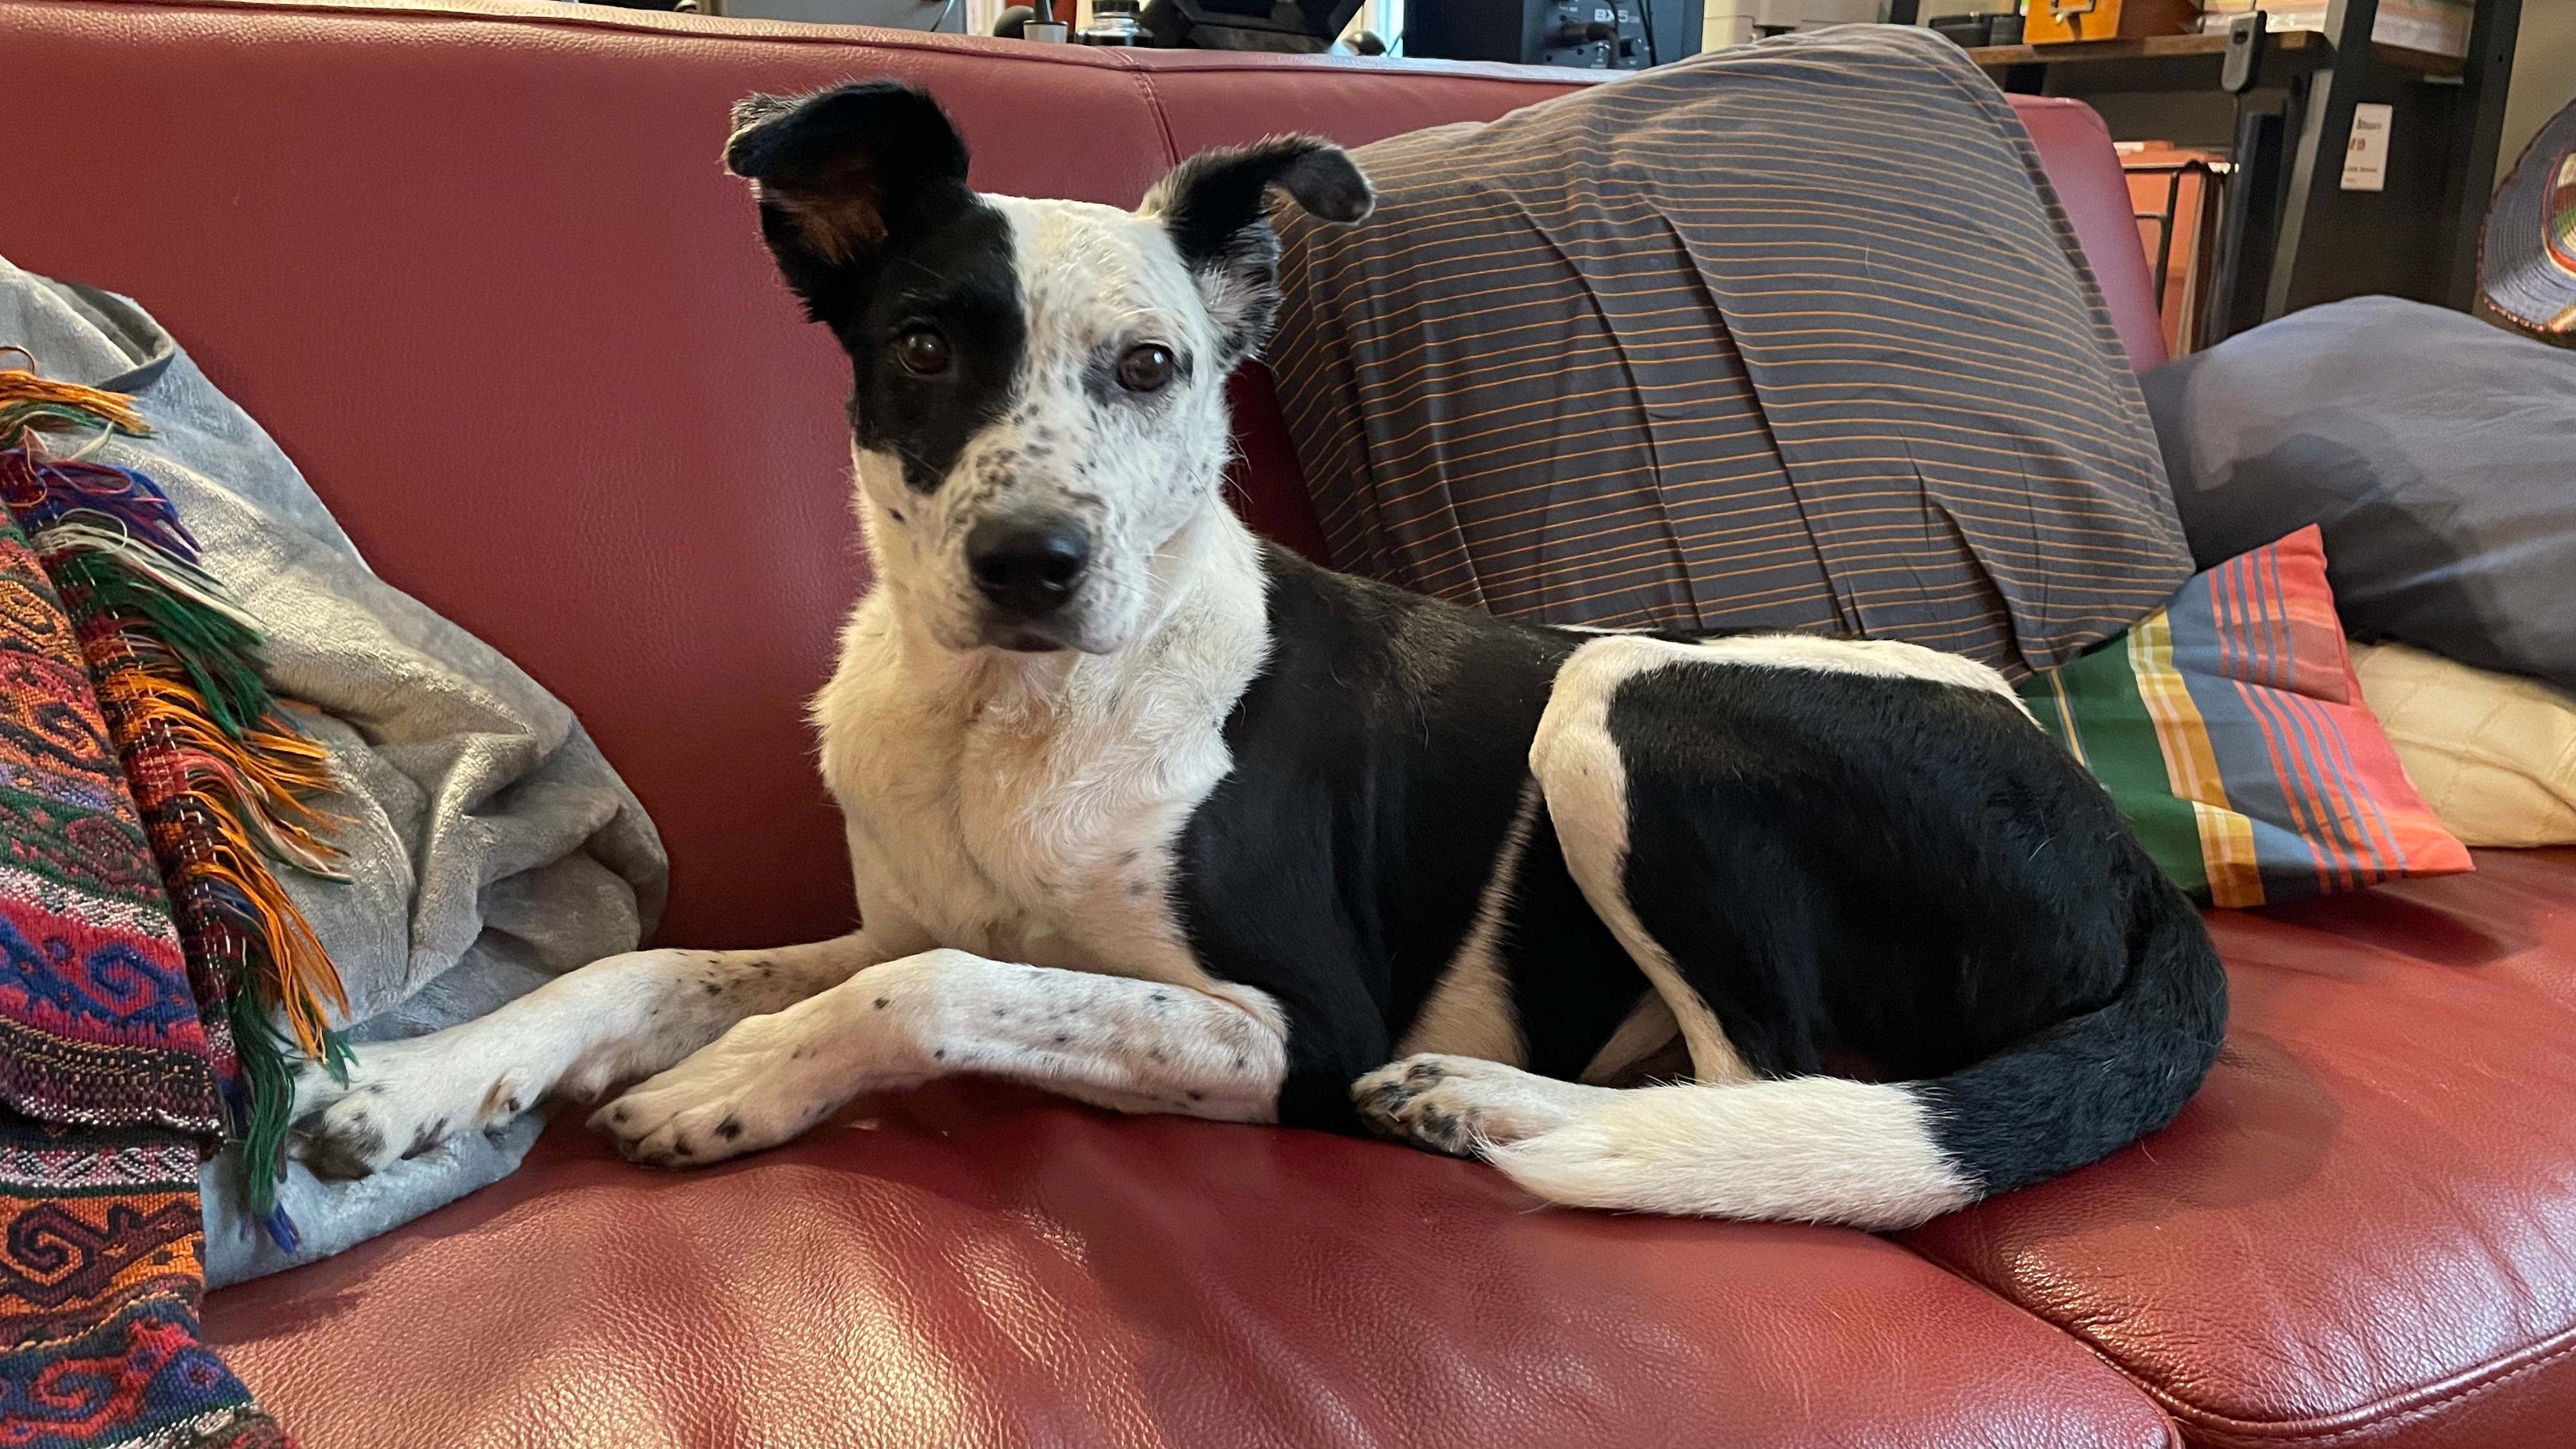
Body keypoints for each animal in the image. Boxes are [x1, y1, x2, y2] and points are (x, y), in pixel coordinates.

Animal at [291, 81, 2227, 1230]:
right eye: (923, 343)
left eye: (1151, 368)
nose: (1032, 562)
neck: (1017, 713)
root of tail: (2144, 876)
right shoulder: (892, 914)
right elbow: (664, 967)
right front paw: (420, 1081)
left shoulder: (1284, 1021)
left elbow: (936, 993)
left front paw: (735, 1086)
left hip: (1619, 703)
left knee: (1772, 1088)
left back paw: (1479, 1103)